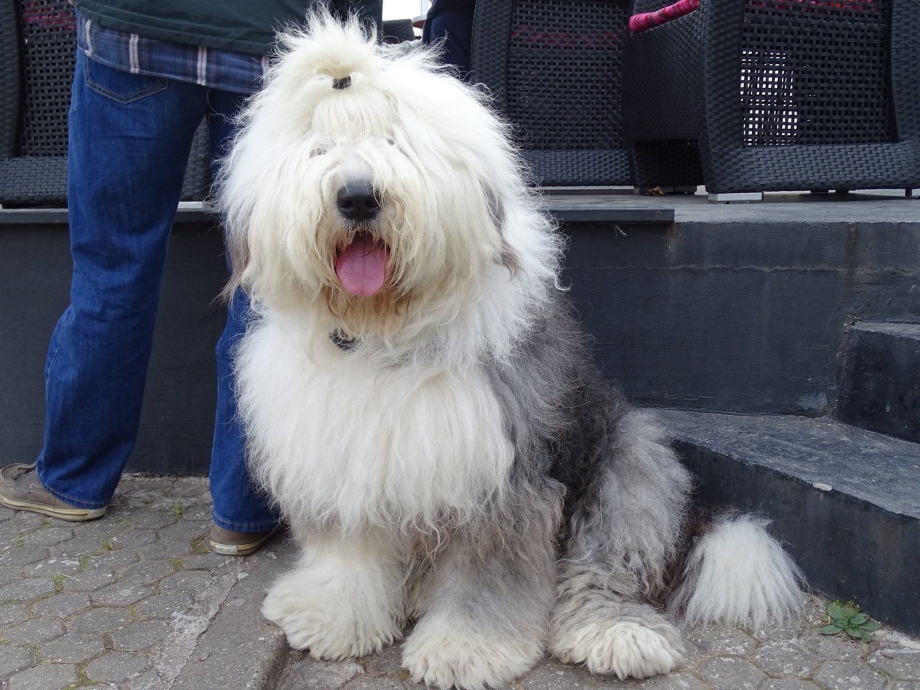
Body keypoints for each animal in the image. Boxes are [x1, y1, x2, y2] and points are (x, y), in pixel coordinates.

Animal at [217, 12, 804, 688]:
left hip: (632, 468)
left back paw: (615, 635)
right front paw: (332, 616)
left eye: (395, 141)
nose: (358, 197)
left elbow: (486, 574)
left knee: (603, 573)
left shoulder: (500, 477)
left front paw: (466, 648)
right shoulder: (342, 461)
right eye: (320, 147)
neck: (383, 330)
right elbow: (350, 554)